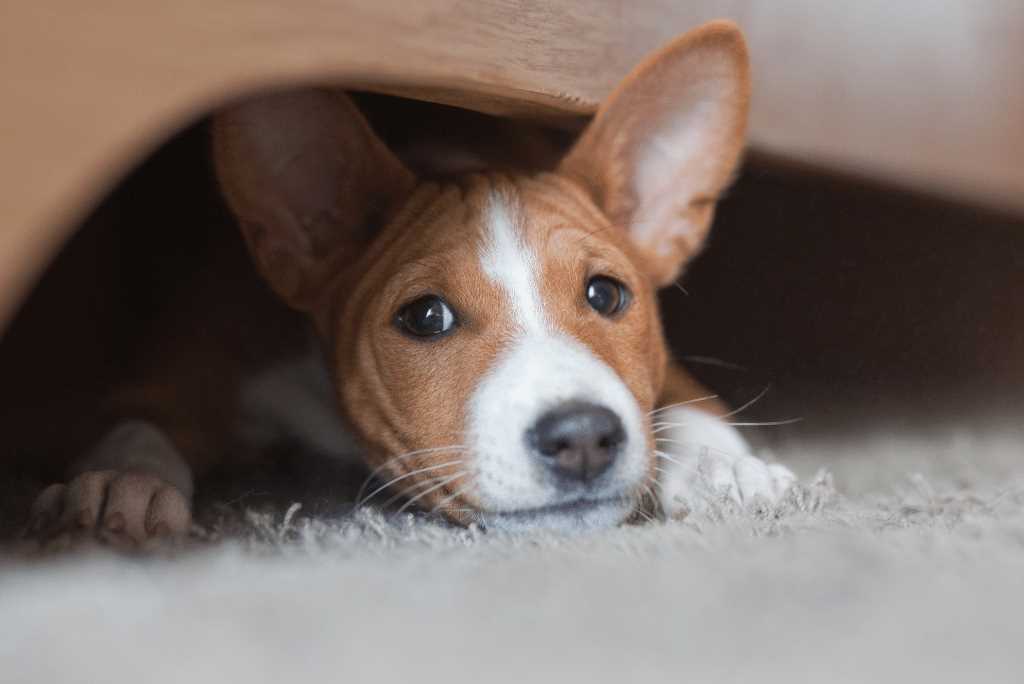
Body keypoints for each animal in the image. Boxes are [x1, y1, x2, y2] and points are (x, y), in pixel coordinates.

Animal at [24, 21, 790, 544]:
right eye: (425, 316)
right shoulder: (189, 360)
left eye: (606, 294)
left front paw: (723, 465)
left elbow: (683, 395)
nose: (582, 436)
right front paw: (123, 485)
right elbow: (136, 420)